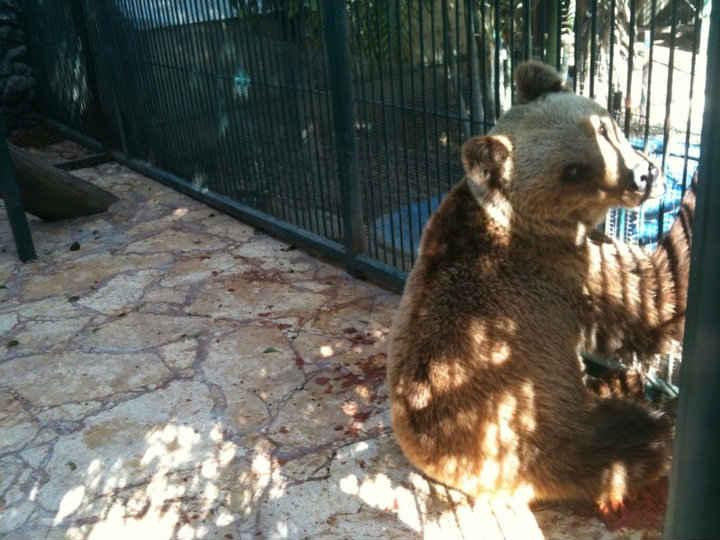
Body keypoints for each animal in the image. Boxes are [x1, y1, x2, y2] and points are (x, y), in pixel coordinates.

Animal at [388, 61, 696, 512]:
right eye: (574, 170)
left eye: (602, 126)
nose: (642, 176)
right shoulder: (563, 271)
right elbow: (654, 293)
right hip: (541, 431)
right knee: (628, 444)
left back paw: (617, 382)